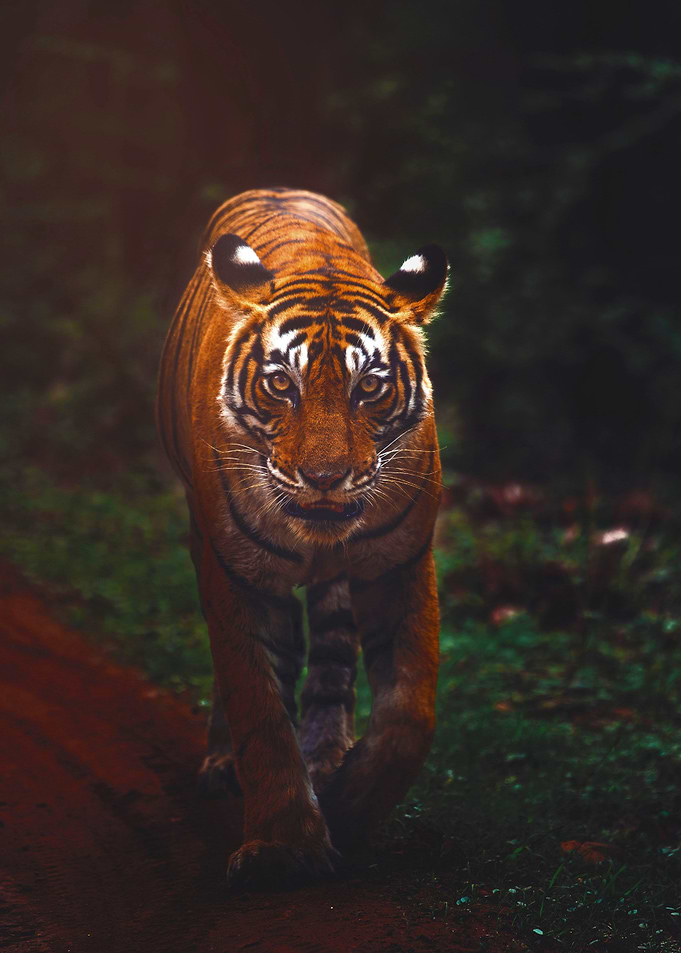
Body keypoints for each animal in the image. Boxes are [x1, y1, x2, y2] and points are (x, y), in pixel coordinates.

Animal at [156, 188, 448, 887]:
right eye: (280, 383)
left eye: (368, 386)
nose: (323, 478)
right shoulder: (233, 570)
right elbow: (258, 701)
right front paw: (283, 846)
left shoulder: (399, 561)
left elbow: (409, 712)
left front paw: (346, 807)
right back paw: (225, 766)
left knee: (334, 649)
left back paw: (325, 755)